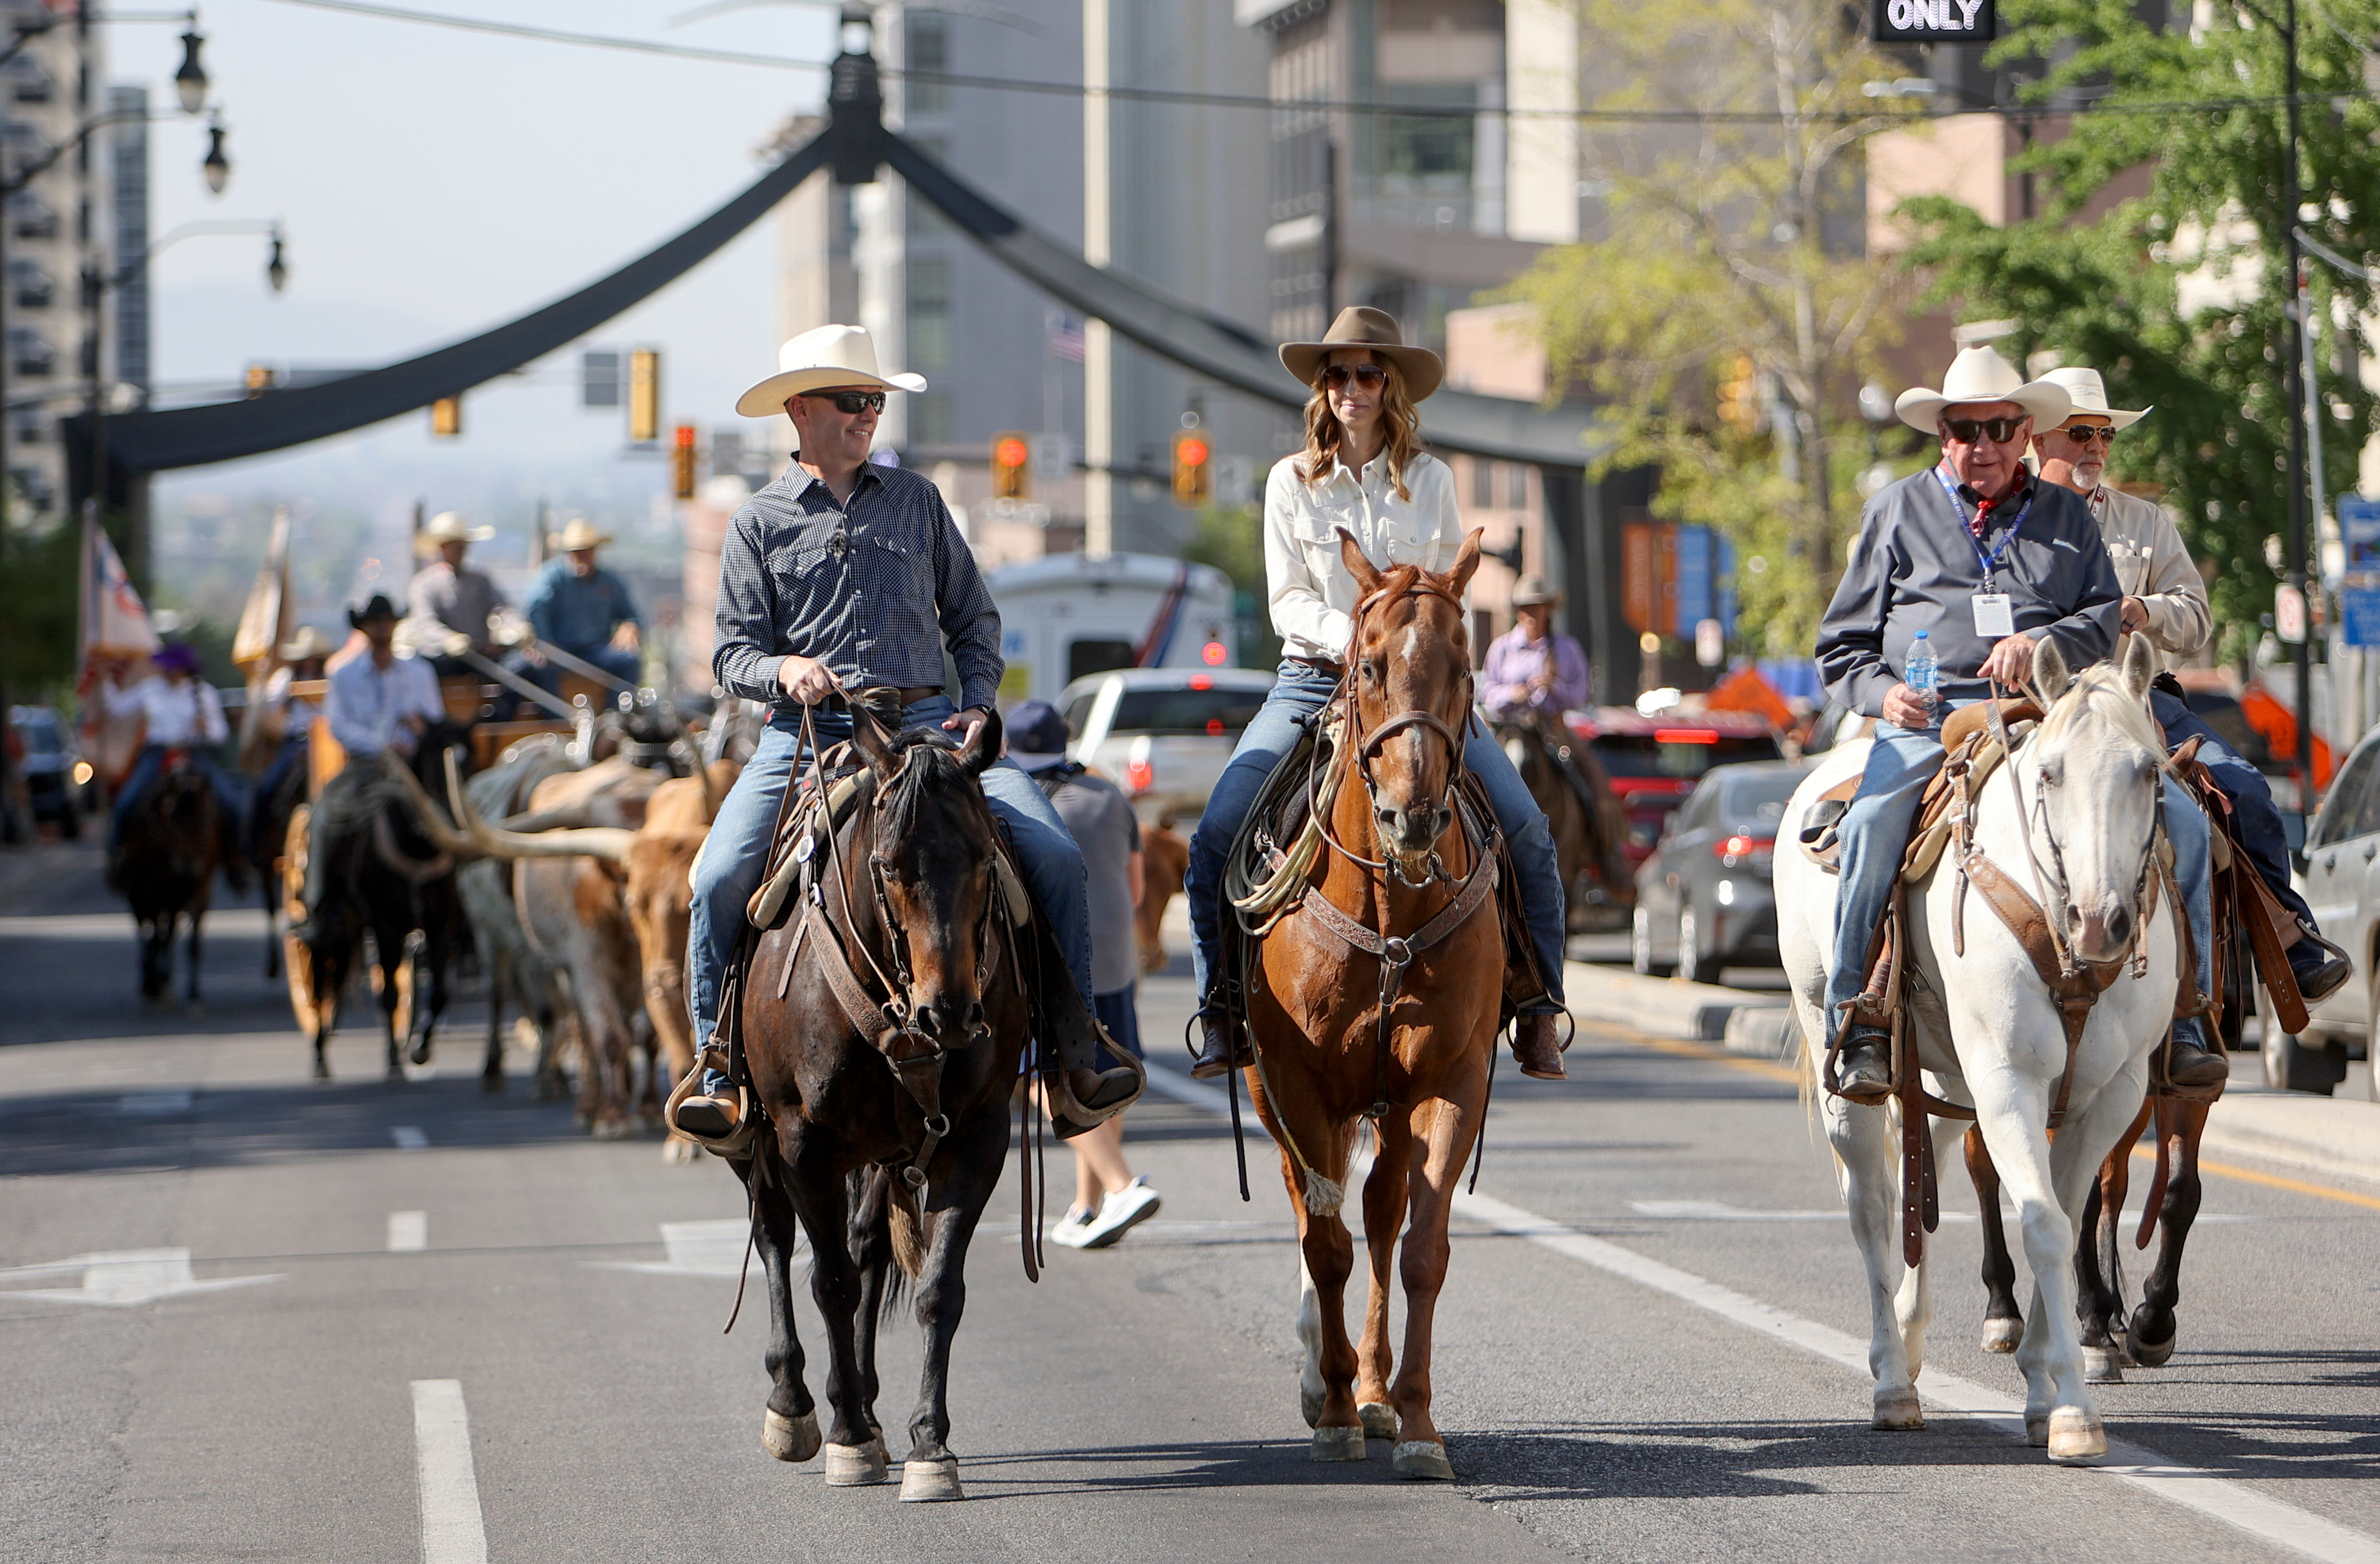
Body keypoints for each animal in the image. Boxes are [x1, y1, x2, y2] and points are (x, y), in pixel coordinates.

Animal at [110, 747, 245, 999]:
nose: (190, 869)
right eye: (171, 819)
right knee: (146, 928)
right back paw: (151, 978)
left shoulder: (199, 889)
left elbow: (187, 938)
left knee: (165, 929)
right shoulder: (150, 890)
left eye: (206, 820)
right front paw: (155, 980)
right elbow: (154, 932)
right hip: (139, 891)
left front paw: (193, 989)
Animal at [724, 700, 1023, 1504]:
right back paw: (798, 1404)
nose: (948, 1013)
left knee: (864, 1252)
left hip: (885, 1155)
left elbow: (936, 1290)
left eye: (984, 858)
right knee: (776, 1236)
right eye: (889, 867)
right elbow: (826, 1281)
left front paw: (929, 1446)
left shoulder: (977, 1137)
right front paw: (850, 1438)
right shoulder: (802, 1142)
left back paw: (864, 1402)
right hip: (755, 1141)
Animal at [1247, 531, 1504, 1485]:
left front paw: (1418, 1419)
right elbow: (1325, 1247)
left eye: (1465, 667)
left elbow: (1423, 1247)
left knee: (1384, 1216)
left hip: (1390, 1106)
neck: (1389, 909)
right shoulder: (1299, 1084)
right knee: (1313, 1213)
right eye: (1366, 667)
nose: (1412, 816)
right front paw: (1329, 1410)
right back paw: (1329, 1384)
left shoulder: (1450, 1081)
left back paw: (1373, 1387)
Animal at [1780, 633, 2180, 1466]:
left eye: (2149, 770)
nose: (2102, 922)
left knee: (1919, 1173)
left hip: (1941, 1076)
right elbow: (2043, 1221)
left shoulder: (2114, 1094)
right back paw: (1891, 1381)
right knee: (1871, 1207)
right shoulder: (2007, 1078)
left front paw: (2045, 1390)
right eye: (2050, 772)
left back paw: (1909, 1337)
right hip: (1843, 1063)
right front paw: (2071, 1410)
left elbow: (2064, 1211)